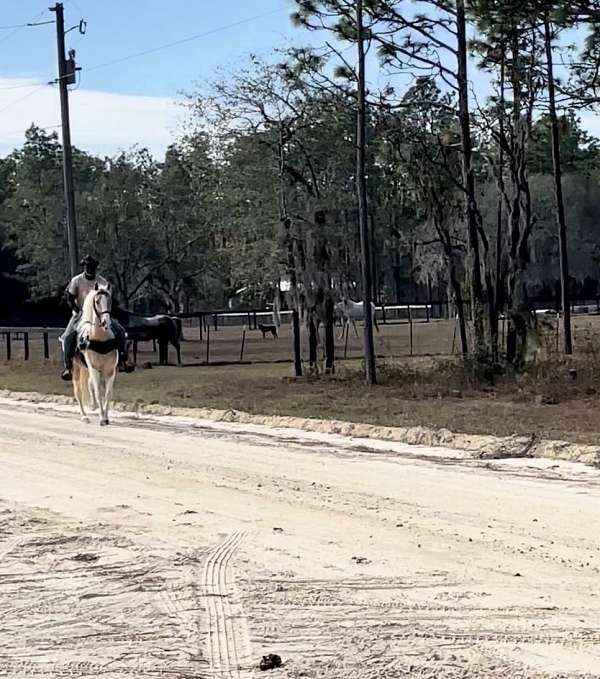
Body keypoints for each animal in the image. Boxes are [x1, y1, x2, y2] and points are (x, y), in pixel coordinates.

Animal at [73, 286, 119, 424]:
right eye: (97, 301)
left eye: (110, 300)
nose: (105, 322)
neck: (101, 340)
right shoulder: (93, 368)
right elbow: (98, 391)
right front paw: (102, 418)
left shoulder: (110, 369)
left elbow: (107, 393)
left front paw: (105, 417)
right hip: (76, 368)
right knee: (78, 392)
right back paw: (84, 416)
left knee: (89, 384)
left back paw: (94, 406)